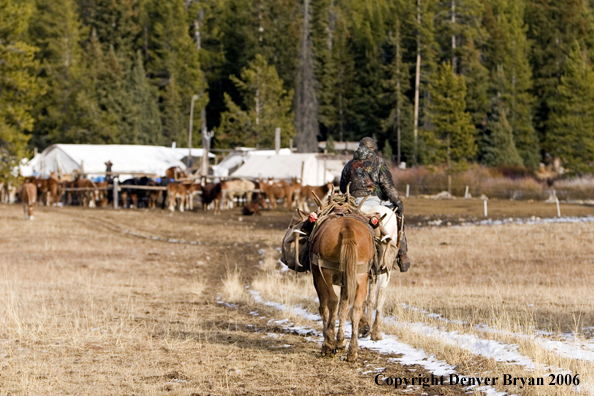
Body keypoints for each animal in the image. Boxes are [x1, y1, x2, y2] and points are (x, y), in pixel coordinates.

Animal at [308, 213, 372, 362]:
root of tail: (346, 228)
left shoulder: (318, 277)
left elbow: (325, 306)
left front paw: (331, 342)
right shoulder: (347, 280)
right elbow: (344, 308)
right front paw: (341, 341)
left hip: (325, 274)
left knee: (332, 301)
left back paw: (328, 344)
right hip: (361, 275)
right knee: (356, 308)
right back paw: (352, 351)